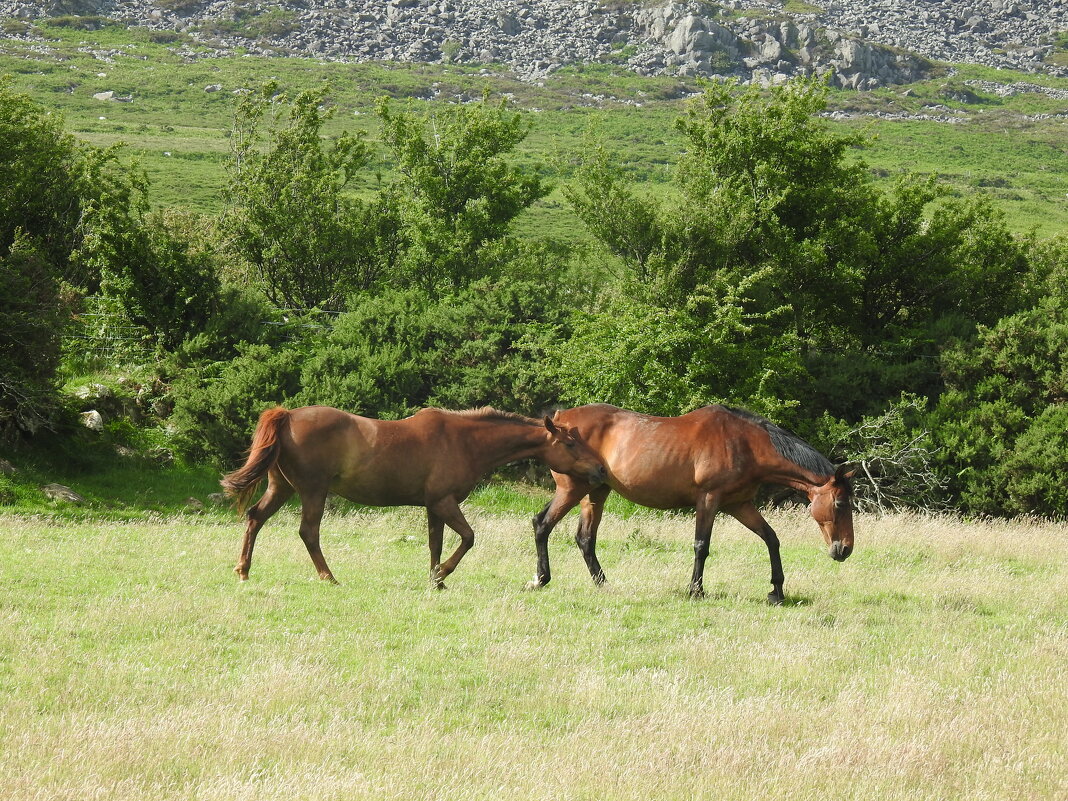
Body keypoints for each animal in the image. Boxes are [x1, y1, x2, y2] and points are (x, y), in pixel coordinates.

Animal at [221, 407, 606, 589]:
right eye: (570, 443)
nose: (601, 470)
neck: (464, 440)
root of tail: (287, 415)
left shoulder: (434, 507)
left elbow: (435, 543)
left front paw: (435, 578)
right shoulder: (444, 502)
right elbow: (467, 538)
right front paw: (442, 574)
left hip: (281, 487)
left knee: (255, 518)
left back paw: (243, 570)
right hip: (313, 491)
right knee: (308, 533)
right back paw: (328, 577)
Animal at [529, 403, 854, 606]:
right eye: (840, 503)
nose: (845, 550)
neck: (746, 444)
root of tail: (557, 421)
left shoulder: (739, 504)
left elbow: (771, 539)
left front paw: (777, 591)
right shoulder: (708, 500)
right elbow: (701, 546)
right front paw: (695, 590)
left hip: (596, 492)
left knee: (585, 538)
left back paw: (603, 584)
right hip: (573, 489)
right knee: (542, 524)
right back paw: (540, 579)